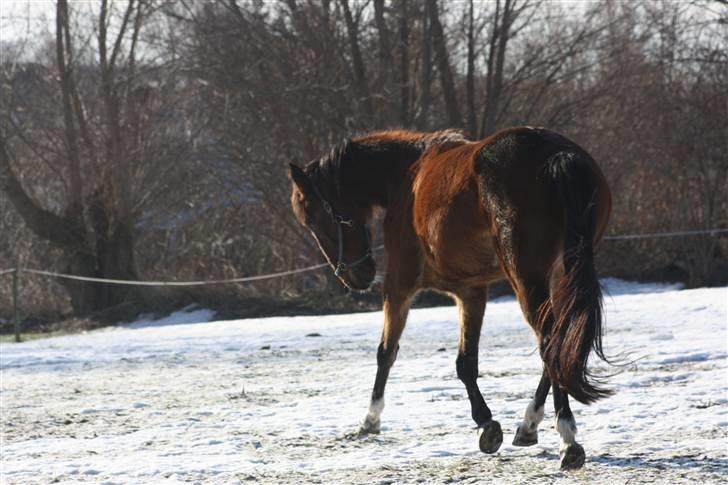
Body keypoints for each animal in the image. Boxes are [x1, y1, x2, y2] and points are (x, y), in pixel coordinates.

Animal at [288, 126, 612, 466]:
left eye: (311, 216)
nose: (355, 275)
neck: (407, 174)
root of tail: (555, 154)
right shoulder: (471, 292)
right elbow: (466, 362)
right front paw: (488, 424)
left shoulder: (400, 285)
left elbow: (387, 352)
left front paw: (371, 419)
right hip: (558, 279)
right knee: (557, 347)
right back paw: (529, 425)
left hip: (527, 282)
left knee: (551, 346)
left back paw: (566, 437)